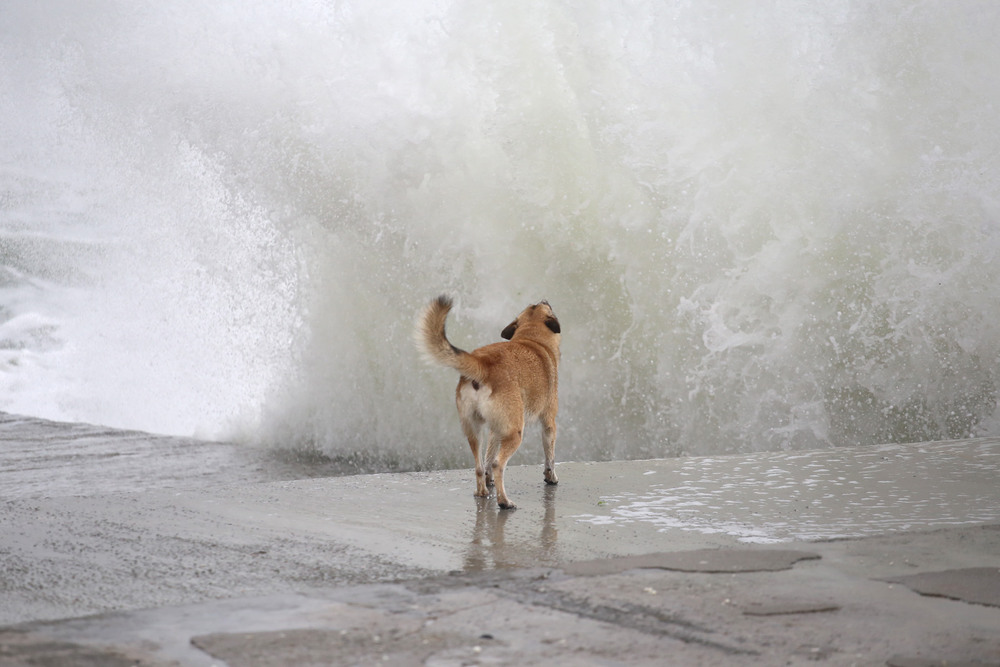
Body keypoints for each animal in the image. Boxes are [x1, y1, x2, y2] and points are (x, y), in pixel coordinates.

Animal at [410, 298, 560, 512]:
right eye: (546, 306)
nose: (544, 299)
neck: (532, 338)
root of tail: (483, 363)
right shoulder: (548, 422)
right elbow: (550, 455)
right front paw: (551, 477)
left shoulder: (495, 429)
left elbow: (488, 456)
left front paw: (489, 481)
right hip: (515, 432)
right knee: (498, 464)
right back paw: (504, 501)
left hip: (474, 430)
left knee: (480, 466)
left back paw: (482, 492)